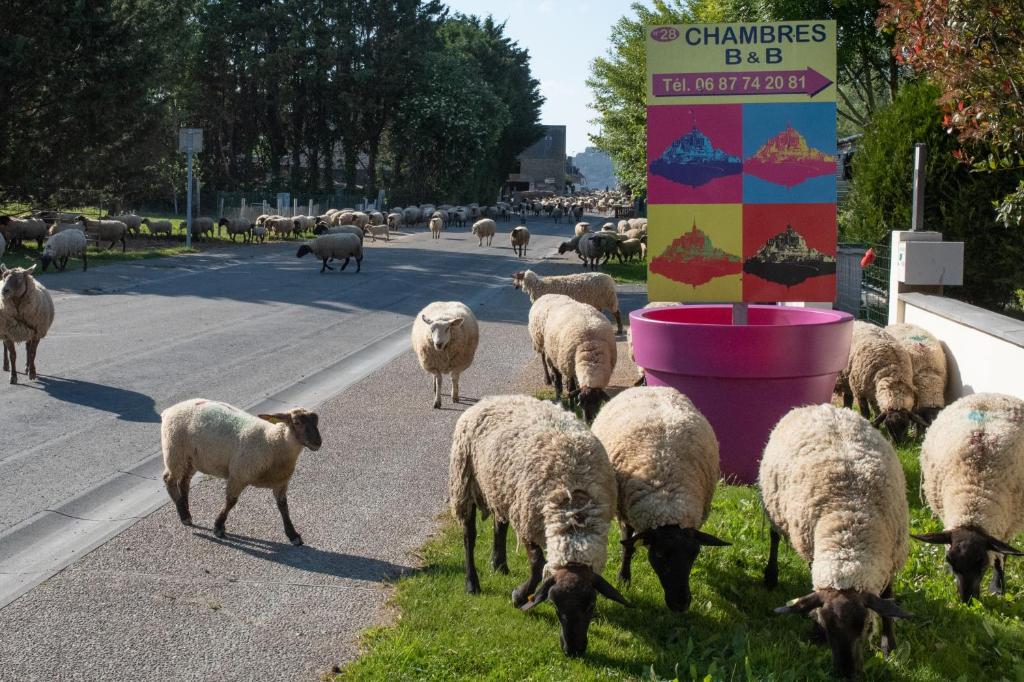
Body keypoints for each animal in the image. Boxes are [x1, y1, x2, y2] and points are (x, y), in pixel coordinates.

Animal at [159, 399, 321, 540]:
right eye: (297, 423)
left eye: (316, 421)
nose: (318, 443)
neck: (272, 442)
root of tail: (169, 410)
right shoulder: (238, 475)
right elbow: (231, 502)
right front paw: (218, 526)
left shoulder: (281, 483)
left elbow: (283, 507)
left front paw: (293, 534)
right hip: (174, 451)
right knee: (169, 479)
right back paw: (184, 515)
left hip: (192, 459)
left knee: (184, 482)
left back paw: (186, 509)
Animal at [450, 393, 626, 655]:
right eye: (554, 605)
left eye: (591, 604)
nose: (573, 650)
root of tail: (492, 398)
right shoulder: (529, 522)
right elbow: (536, 564)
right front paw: (519, 596)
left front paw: (519, 592)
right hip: (466, 481)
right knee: (469, 536)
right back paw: (472, 583)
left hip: (501, 488)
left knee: (499, 525)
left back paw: (499, 564)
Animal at [589, 382, 733, 610]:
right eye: (658, 555)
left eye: (695, 553)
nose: (680, 605)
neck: (667, 500)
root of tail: (649, 386)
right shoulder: (625, 513)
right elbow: (628, 546)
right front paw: (623, 578)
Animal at [761, 403, 913, 675]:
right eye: (825, 625)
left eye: (866, 627)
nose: (846, 674)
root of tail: (818, 406)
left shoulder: (891, 558)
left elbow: (887, 601)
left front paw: (889, 645)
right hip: (774, 509)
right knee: (774, 538)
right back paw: (770, 575)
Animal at [913, 391, 1024, 602]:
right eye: (950, 561)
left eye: (982, 565)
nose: (966, 601)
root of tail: (991, 394)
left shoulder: (1004, 527)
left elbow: (1000, 557)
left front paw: (997, 588)